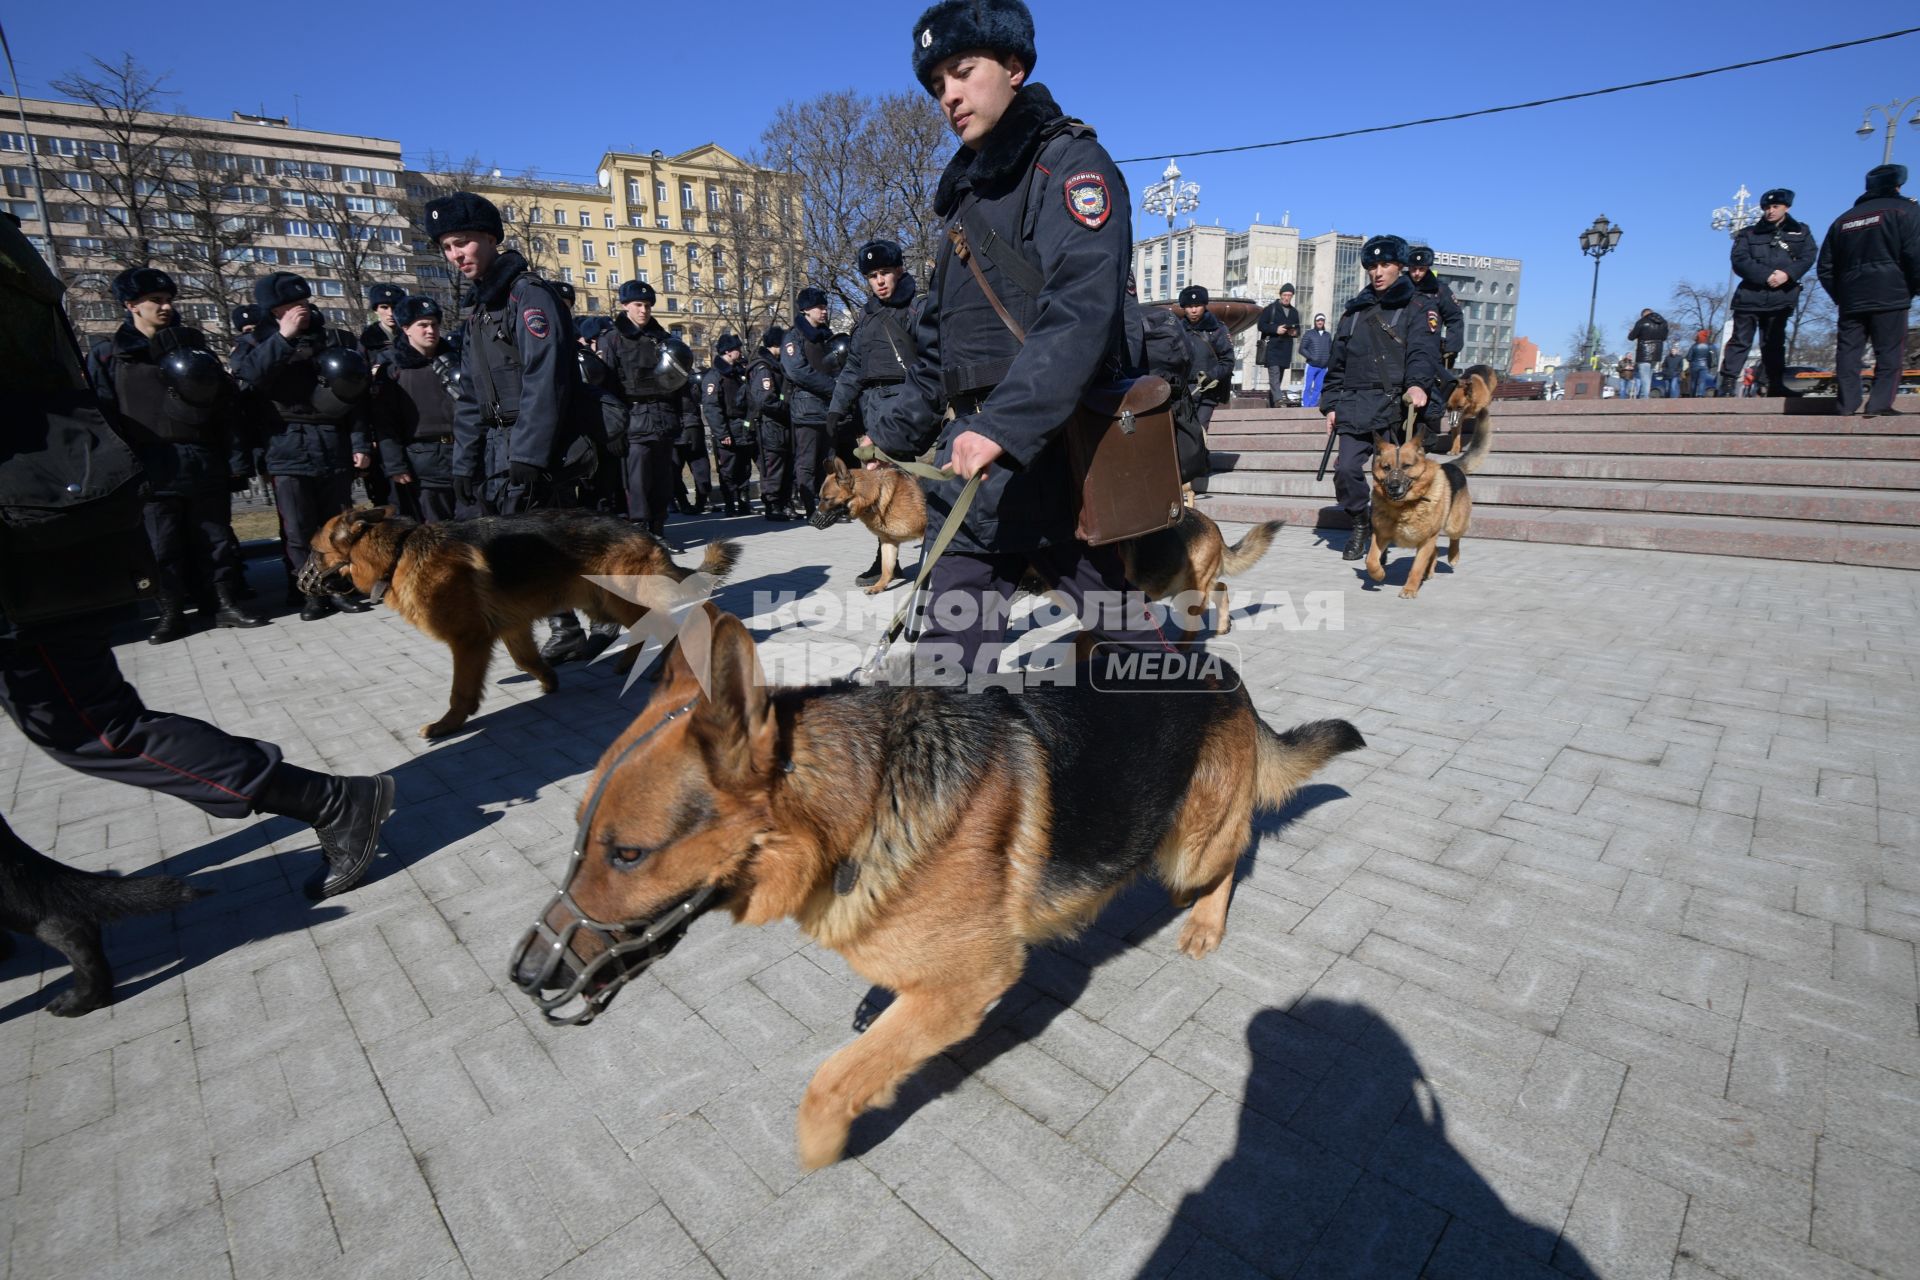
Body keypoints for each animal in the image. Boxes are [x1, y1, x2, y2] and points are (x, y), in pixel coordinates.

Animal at [305, 506, 741, 736]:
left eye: (314, 550)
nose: (299, 577)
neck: (397, 552)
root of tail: (647, 534)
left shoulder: (469, 640)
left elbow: (460, 691)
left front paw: (448, 724)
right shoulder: (512, 628)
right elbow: (526, 660)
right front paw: (549, 681)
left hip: (621, 597)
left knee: (671, 626)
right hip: (605, 603)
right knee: (647, 629)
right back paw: (627, 663)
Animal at [514, 610, 1367, 1174]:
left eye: (628, 854)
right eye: (581, 836)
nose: (524, 974)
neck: (859, 810)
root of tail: (1219, 668)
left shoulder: (970, 981)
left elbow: (832, 1080)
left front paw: (821, 1145)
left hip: (1189, 847)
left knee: (1237, 848)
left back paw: (1205, 925)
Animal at [810, 458, 929, 594]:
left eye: (827, 499)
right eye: (820, 498)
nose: (810, 521)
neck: (876, 496)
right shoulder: (888, 542)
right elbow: (886, 568)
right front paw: (879, 586)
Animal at [1374, 402, 1489, 598]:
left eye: (1406, 466)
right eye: (1386, 468)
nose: (1393, 486)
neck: (1404, 507)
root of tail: (1451, 465)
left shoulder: (1426, 540)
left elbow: (1416, 568)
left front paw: (1410, 589)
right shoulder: (1381, 535)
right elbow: (1371, 560)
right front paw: (1378, 574)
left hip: (1453, 524)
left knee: (1454, 539)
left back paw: (1453, 556)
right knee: (1434, 552)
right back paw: (1429, 571)